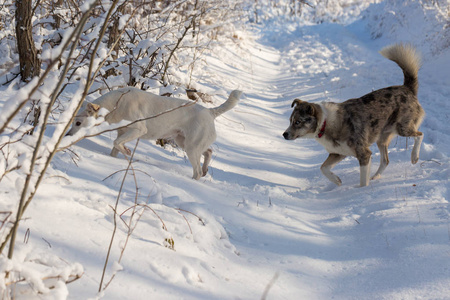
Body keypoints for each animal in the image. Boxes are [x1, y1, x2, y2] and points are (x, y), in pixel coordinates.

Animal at [67, 88, 243, 179]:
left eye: (78, 123)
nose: (67, 136)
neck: (115, 105)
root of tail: (210, 112)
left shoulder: (138, 129)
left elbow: (117, 143)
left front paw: (128, 152)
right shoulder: (122, 132)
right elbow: (115, 147)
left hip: (191, 148)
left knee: (197, 171)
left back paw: (195, 179)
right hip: (184, 142)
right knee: (209, 151)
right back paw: (206, 169)